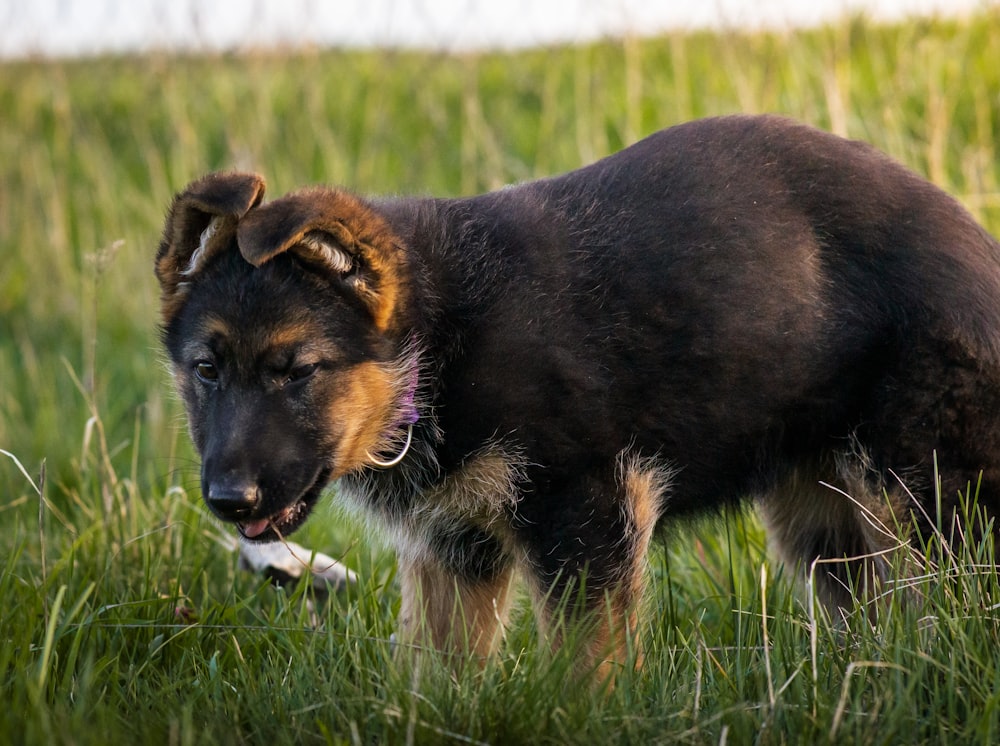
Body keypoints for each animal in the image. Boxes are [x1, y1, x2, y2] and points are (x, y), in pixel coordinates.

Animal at [158, 113, 1000, 676]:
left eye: (298, 372)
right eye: (207, 371)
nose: (229, 501)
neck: (433, 344)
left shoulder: (584, 512)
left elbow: (585, 669)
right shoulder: (453, 546)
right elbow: (431, 671)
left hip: (923, 491)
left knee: (955, 605)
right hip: (823, 514)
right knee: (866, 607)